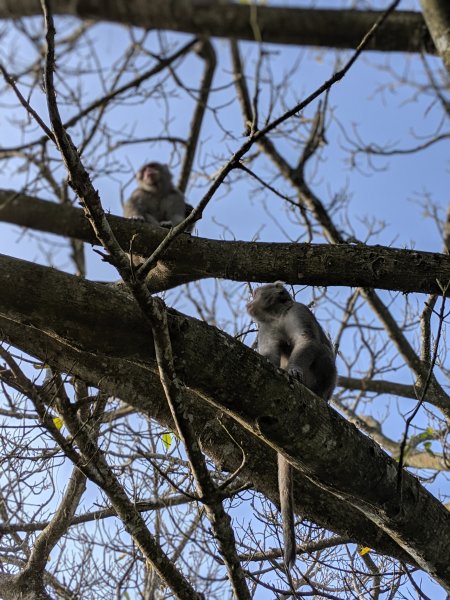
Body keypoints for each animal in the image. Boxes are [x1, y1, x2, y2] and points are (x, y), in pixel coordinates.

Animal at [246, 284, 338, 568]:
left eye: (257, 293)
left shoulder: (298, 311)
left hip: (324, 384)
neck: (276, 316)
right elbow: (270, 354)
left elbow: (307, 341)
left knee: (323, 354)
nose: (250, 301)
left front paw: (295, 371)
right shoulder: (266, 329)